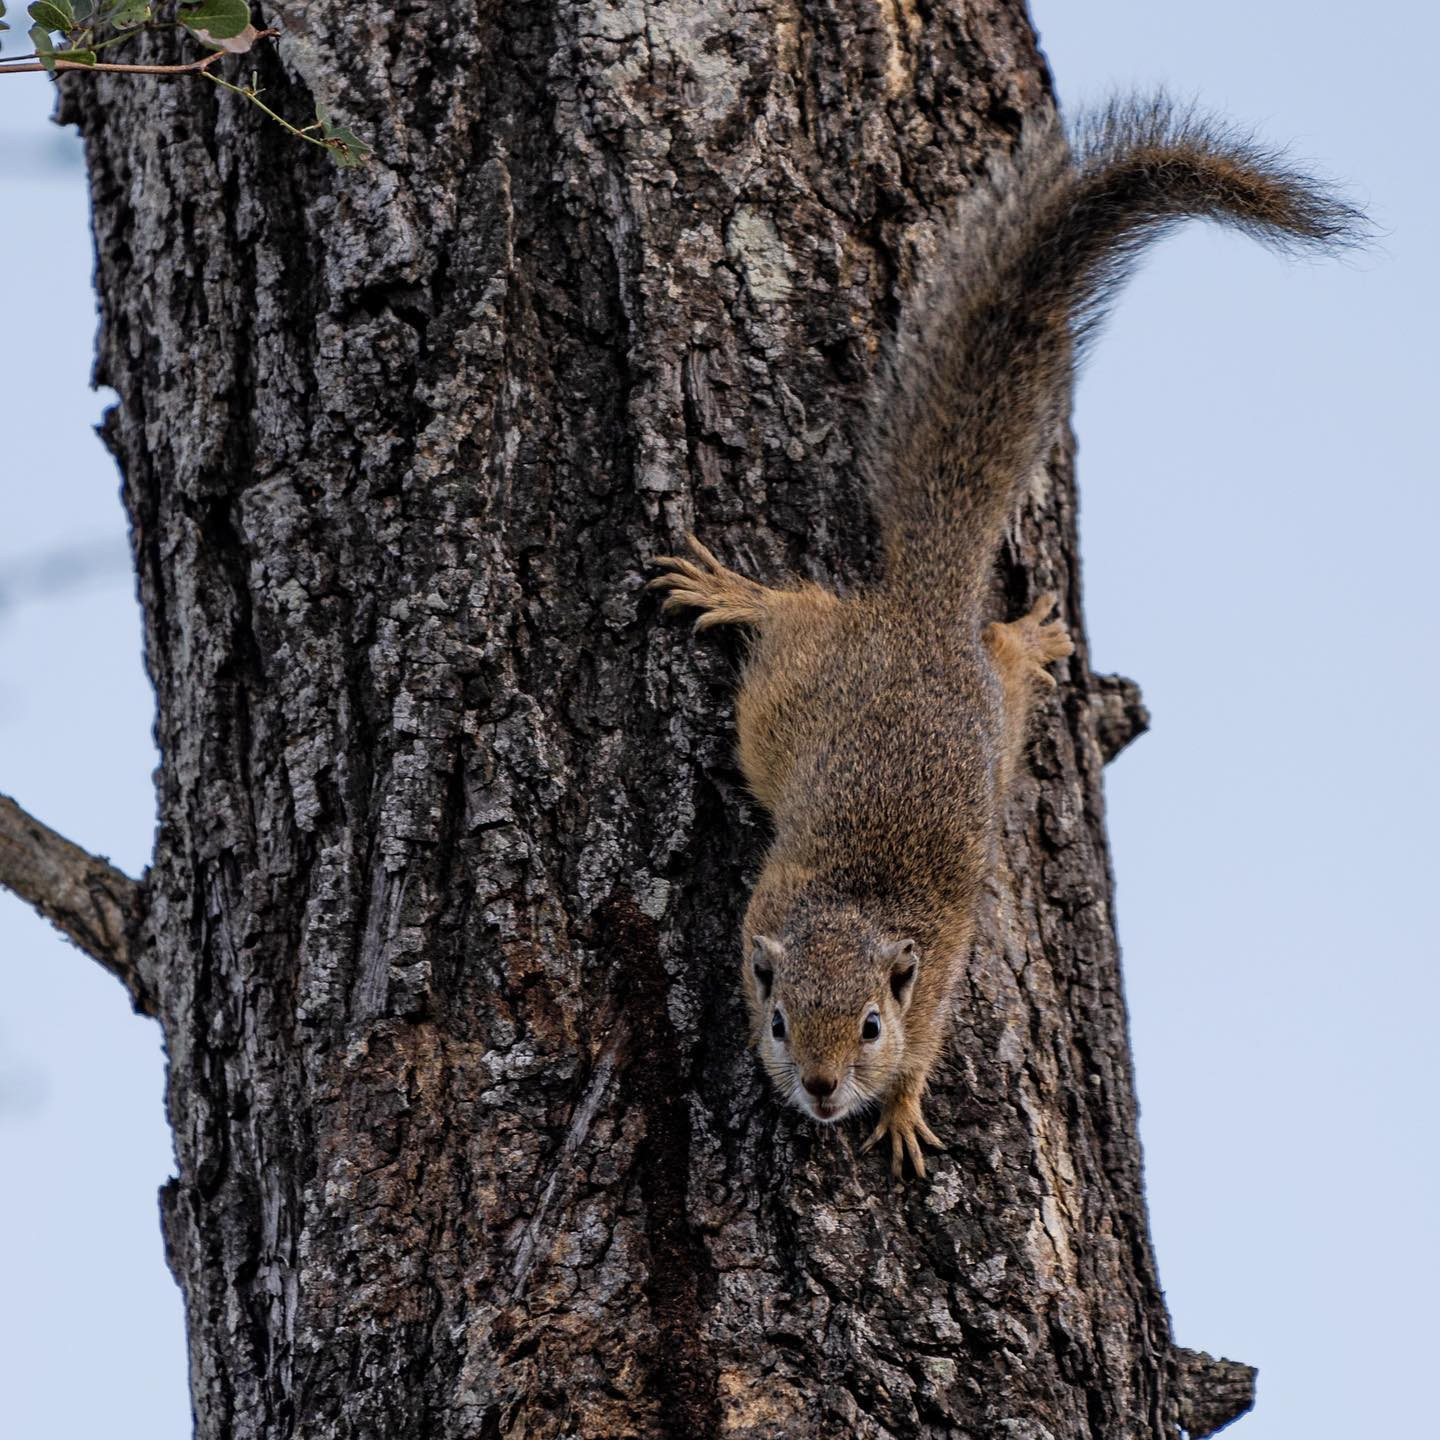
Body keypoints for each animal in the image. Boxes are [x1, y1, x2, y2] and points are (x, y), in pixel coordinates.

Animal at [649, 97, 1360, 1178]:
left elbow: (929, 1048)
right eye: (778, 1022)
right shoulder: (757, 924)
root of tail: (927, 614)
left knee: (839, 622)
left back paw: (1013, 639)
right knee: (796, 614)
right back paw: (738, 590)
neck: (857, 908)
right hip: (796, 696)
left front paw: (902, 1111)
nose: (818, 1089)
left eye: (869, 1025)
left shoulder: (938, 978)